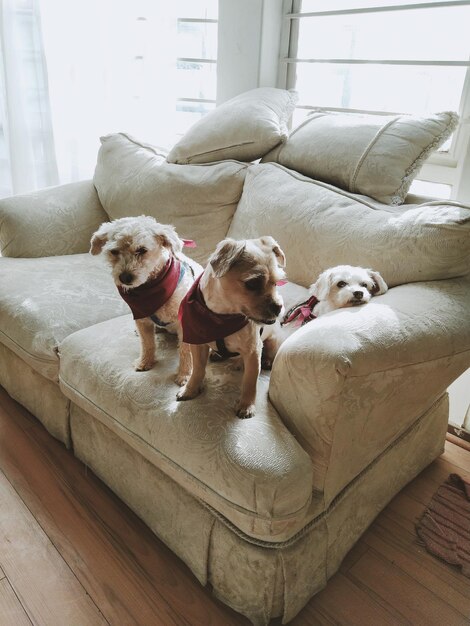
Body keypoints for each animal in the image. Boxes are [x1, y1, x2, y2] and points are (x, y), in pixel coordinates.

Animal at [90, 216, 202, 386]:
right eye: (114, 251)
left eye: (142, 250)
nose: (124, 278)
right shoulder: (142, 320)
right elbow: (147, 344)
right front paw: (145, 362)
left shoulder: (185, 324)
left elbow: (185, 350)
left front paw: (185, 374)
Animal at [178, 236, 284, 416]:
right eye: (253, 283)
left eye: (276, 283)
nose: (278, 307)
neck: (220, 317)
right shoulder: (198, 344)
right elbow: (198, 370)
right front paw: (190, 389)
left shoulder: (253, 350)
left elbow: (250, 381)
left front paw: (246, 405)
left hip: (273, 341)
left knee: (266, 354)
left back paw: (262, 361)